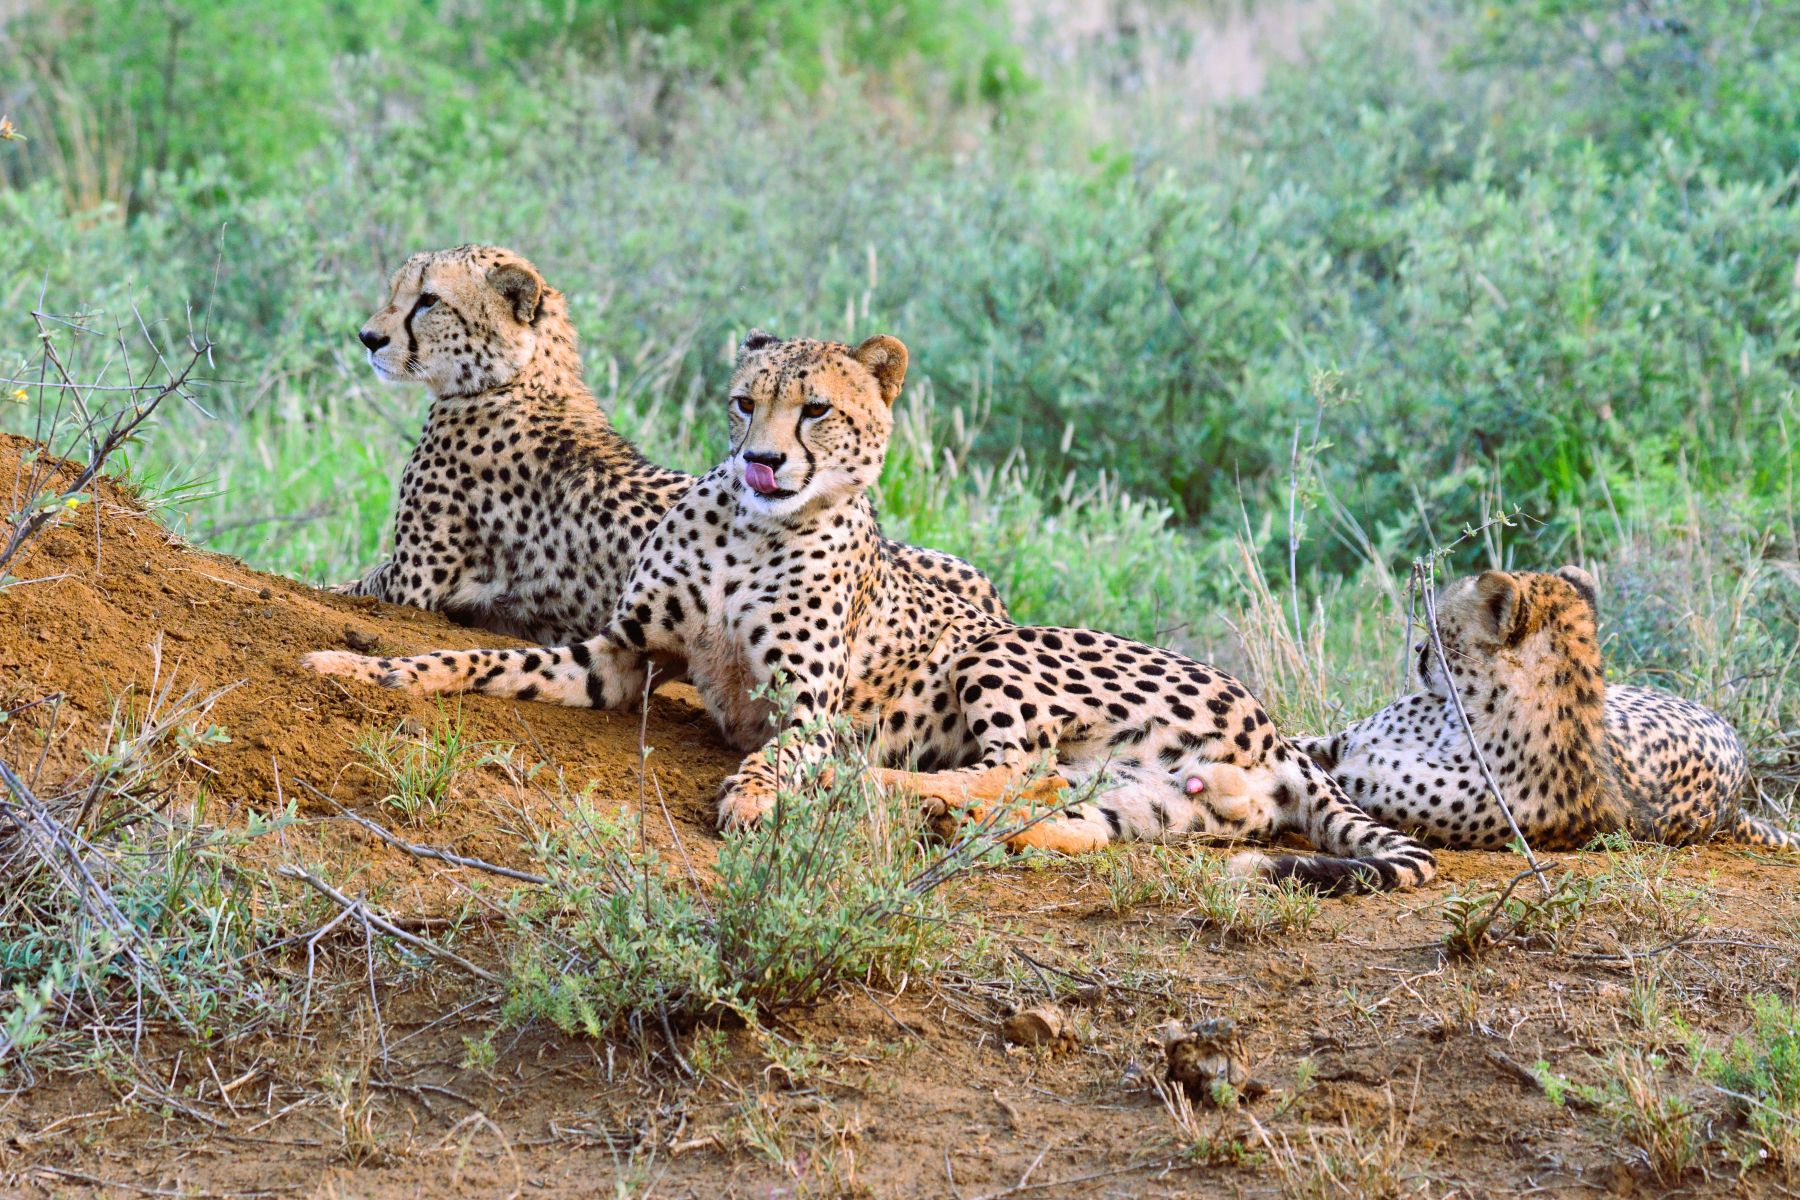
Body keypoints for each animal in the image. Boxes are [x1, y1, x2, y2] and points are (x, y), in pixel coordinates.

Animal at [307, 330, 1436, 894]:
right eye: (744, 401)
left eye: (816, 409)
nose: (764, 460)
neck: (752, 529)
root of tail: (1273, 727)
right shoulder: (617, 656)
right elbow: (465, 663)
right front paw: (358, 668)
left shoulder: (808, 704)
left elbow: (778, 750)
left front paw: (755, 798)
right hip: (1150, 796)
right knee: (1044, 804)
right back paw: (954, 816)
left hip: (1003, 652)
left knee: (1011, 768)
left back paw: (882, 787)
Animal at [335, 244, 1005, 647]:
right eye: (397, 292)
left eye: (428, 300)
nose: (368, 337)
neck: (523, 374)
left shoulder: (413, 586)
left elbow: (343, 585)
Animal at [1293, 565, 1797, 852]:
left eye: (1438, 629)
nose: (1418, 649)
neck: (1469, 717)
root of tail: (1735, 804)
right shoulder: (1337, 746)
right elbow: (1300, 742)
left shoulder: (1352, 780)